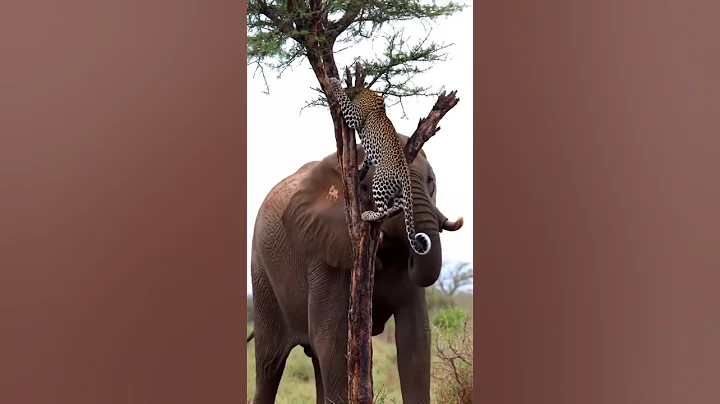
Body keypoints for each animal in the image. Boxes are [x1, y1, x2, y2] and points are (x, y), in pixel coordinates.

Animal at [248, 133, 464, 404]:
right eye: (380, 187)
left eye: (431, 181)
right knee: (270, 363)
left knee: (314, 359)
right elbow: (333, 338)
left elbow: (415, 339)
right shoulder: (325, 252)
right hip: (262, 276)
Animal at [328, 77, 431, 255]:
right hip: (396, 189)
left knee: (383, 212)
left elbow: (345, 102)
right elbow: (367, 160)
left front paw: (335, 83)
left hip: (380, 180)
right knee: (398, 206)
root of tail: (405, 173)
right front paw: (360, 172)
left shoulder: (354, 116)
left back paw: (368, 215)